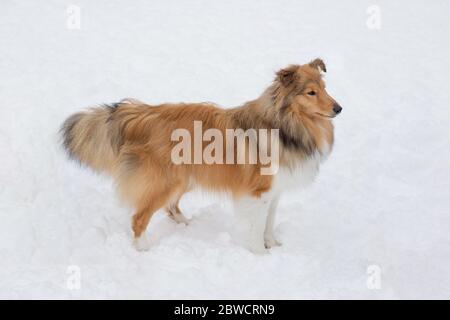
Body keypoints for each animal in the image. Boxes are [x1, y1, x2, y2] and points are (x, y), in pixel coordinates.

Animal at [60, 58, 342, 254]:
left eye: (325, 87)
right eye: (311, 92)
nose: (339, 108)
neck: (285, 125)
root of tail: (139, 115)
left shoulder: (274, 192)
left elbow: (269, 223)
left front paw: (272, 244)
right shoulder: (258, 193)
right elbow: (256, 226)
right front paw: (260, 255)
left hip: (184, 177)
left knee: (170, 207)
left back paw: (186, 224)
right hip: (164, 181)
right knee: (138, 218)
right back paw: (144, 249)